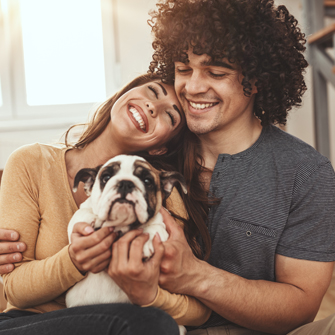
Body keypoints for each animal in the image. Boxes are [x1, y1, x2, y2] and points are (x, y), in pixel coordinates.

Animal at [64, 157, 188, 334]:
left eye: (147, 181)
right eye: (106, 177)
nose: (125, 183)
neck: (121, 225)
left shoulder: (162, 225)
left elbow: (155, 229)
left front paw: (145, 240)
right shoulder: (80, 216)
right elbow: (80, 215)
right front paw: (93, 220)